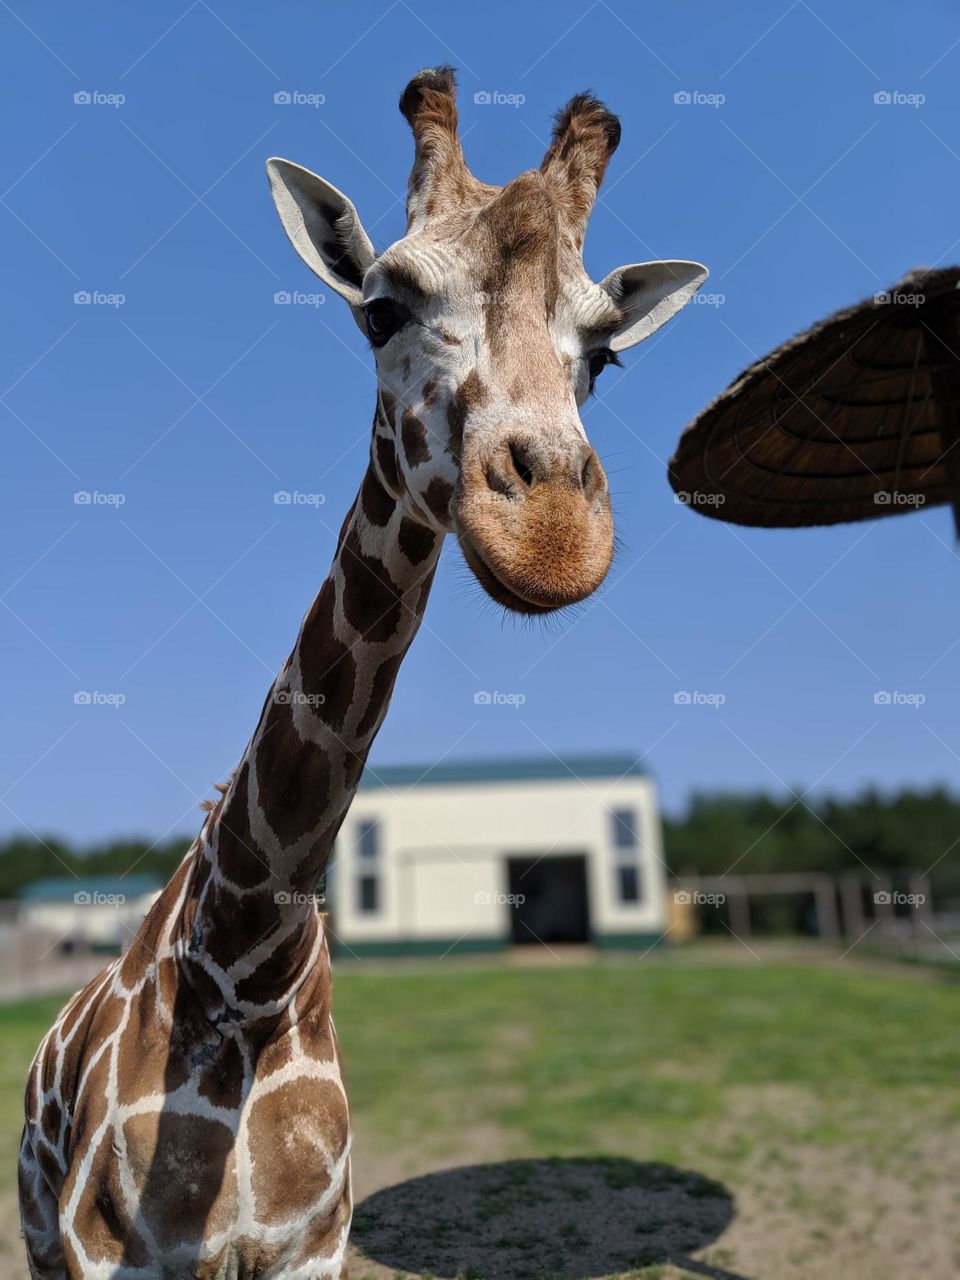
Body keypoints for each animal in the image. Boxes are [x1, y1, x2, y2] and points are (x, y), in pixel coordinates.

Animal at [15, 70, 706, 1280]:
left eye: (607, 353)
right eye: (380, 307)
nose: (552, 537)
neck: (244, 968)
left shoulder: (315, 1245)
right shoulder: (109, 1254)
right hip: (33, 1221)